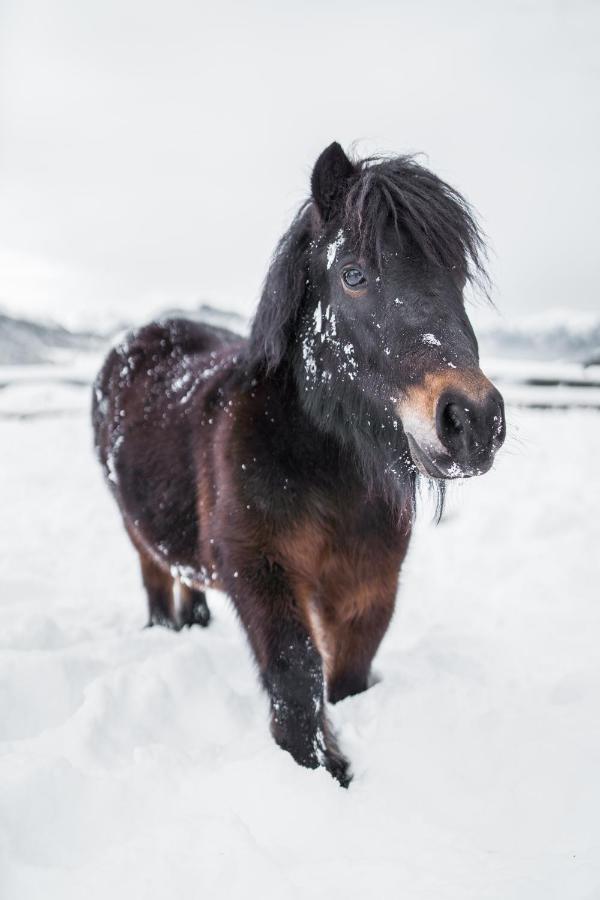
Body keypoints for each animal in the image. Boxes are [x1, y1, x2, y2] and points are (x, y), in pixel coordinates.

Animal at [94, 142, 506, 788]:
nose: (474, 422)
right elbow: (296, 672)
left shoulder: (370, 584)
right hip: (138, 535)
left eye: (457, 278)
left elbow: (348, 677)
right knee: (157, 584)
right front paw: (316, 767)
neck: (325, 469)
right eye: (354, 274)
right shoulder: (257, 569)